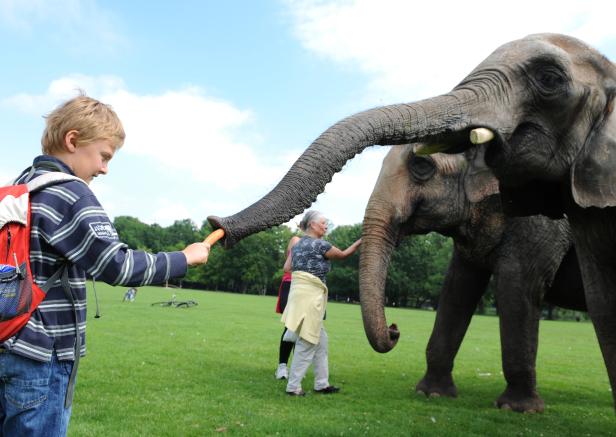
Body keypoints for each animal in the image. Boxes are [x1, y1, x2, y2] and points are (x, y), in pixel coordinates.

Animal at [208, 32, 616, 408]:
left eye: (422, 167)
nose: (216, 224)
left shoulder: (542, 226)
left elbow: (516, 286)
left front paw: (518, 410)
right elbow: (456, 289)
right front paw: (432, 394)